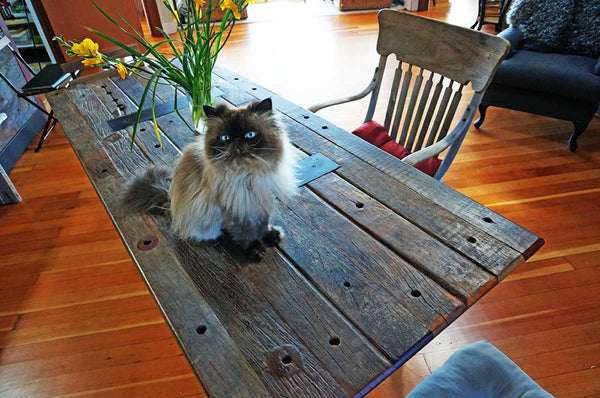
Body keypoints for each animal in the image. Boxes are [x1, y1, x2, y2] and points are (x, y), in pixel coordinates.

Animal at [122, 98, 298, 262]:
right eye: (225, 138)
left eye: (250, 135)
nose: (236, 141)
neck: (247, 176)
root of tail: (171, 199)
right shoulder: (234, 210)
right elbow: (246, 233)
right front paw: (255, 249)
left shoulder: (261, 201)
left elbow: (262, 225)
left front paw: (270, 236)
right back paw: (218, 238)